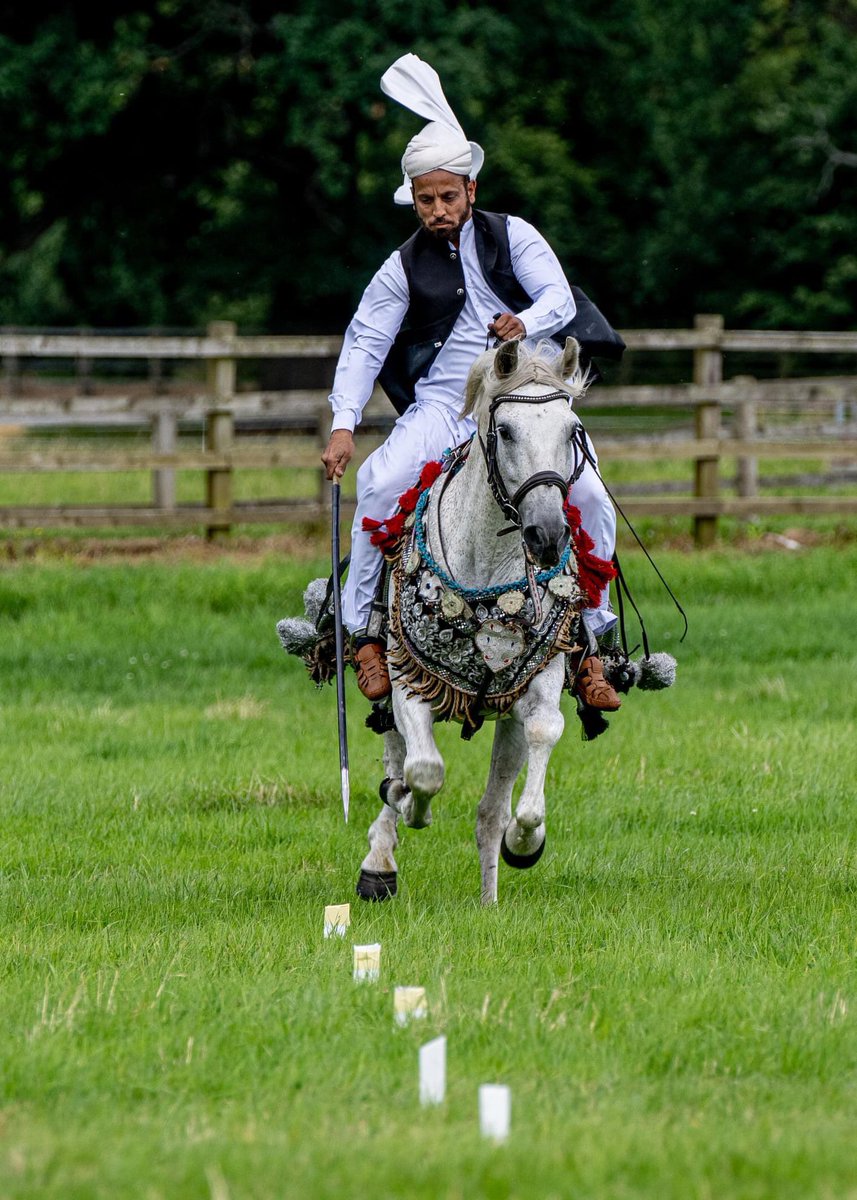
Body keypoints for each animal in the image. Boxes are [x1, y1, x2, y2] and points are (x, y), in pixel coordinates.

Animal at [352, 333, 588, 902]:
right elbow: (424, 771)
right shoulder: (408, 682)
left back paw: (488, 899)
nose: (548, 535)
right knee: (397, 757)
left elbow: (542, 738)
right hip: (385, 688)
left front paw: (526, 840)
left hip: (505, 720)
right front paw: (406, 805)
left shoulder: (537, 683)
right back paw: (379, 861)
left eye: (571, 430)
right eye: (505, 431)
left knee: (489, 810)